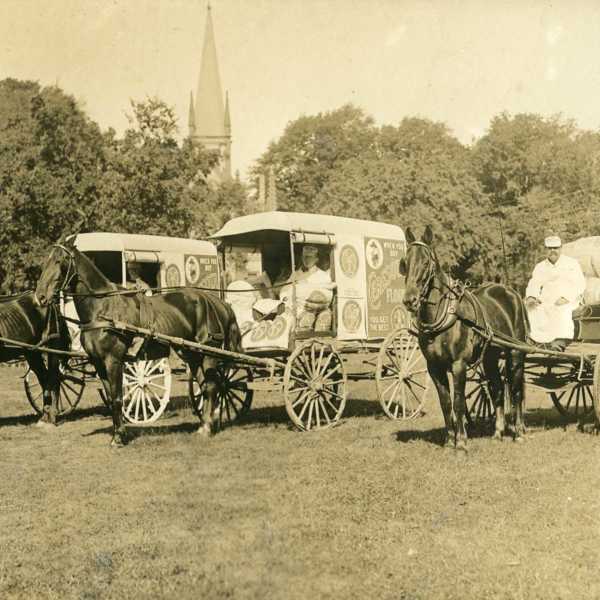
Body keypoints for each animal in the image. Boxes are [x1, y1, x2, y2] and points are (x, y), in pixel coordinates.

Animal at [0, 290, 67, 422]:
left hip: (52, 348)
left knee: (54, 377)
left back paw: (53, 414)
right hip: (32, 353)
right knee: (44, 378)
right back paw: (45, 415)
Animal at [34, 239, 241, 446]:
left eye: (60, 261)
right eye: (45, 261)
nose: (40, 296)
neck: (102, 308)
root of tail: (217, 302)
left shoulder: (114, 360)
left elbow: (118, 398)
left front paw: (118, 438)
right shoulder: (99, 363)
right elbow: (111, 398)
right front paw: (119, 432)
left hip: (209, 354)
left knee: (212, 387)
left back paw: (206, 427)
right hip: (192, 354)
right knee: (206, 386)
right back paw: (205, 424)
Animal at [400, 227, 528, 452]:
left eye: (426, 262)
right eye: (405, 263)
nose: (410, 300)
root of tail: (511, 292)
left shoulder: (458, 364)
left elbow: (458, 402)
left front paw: (461, 441)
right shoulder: (434, 367)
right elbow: (446, 403)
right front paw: (449, 440)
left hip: (515, 353)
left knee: (516, 390)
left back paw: (518, 431)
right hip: (490, 357)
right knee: (496, 389)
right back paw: (498, 432)